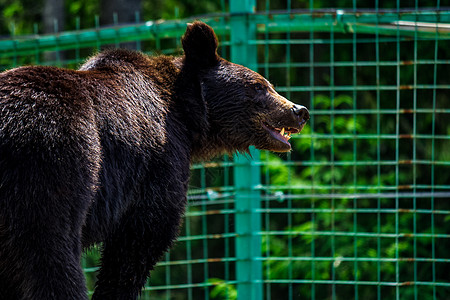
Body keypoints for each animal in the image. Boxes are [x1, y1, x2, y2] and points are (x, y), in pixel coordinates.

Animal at [0, 21, 310, 300]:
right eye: (259, 86)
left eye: (269, 84)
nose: (300, 110)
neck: (188, 117)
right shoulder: (158, 159)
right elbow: (145, 233)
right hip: (54, 160)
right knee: (51, 252)